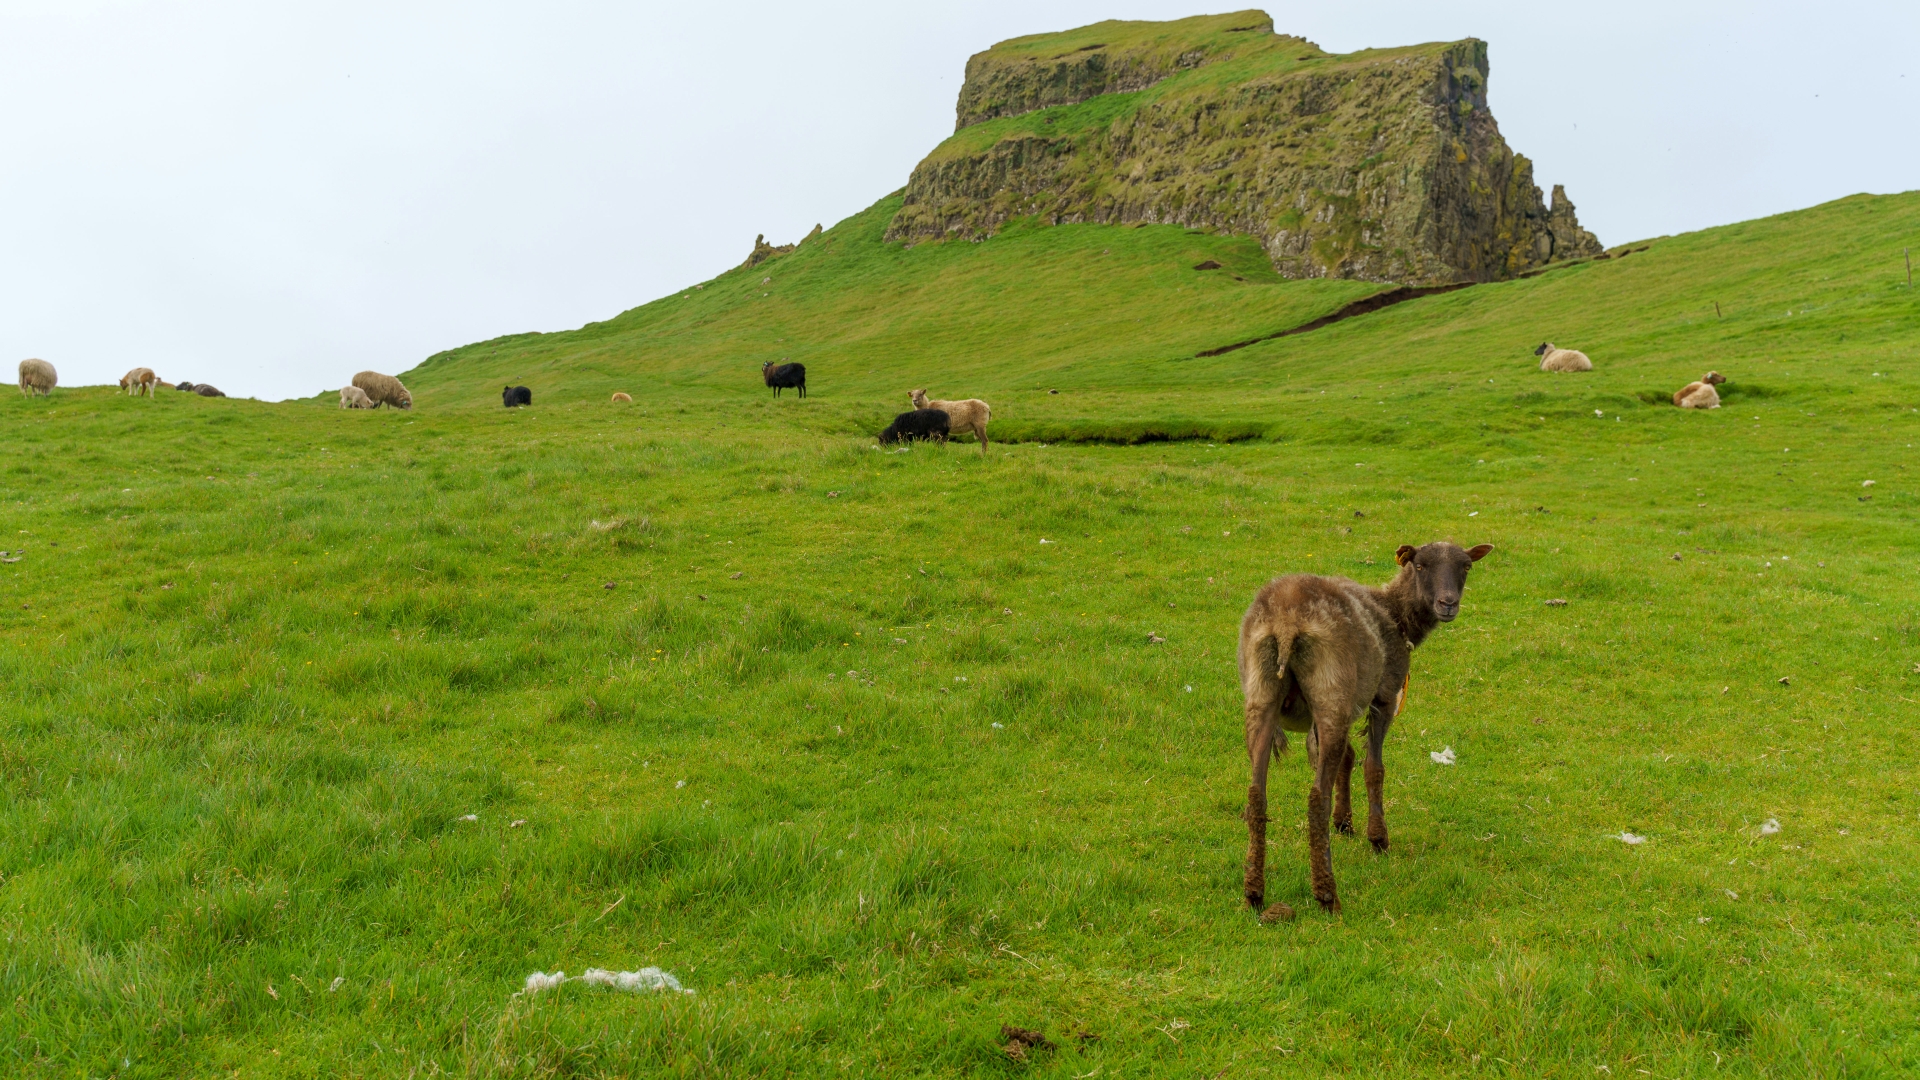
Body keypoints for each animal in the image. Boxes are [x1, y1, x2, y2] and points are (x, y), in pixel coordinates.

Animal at [1236, 538, 1489, 914]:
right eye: (1420, 565)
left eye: (1466, 566)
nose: (1448, 603)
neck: (1396, 614)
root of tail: (1286, 622)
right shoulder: (1384, 697)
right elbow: (1373, 767)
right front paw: (1377, 838)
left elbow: (1347, 758)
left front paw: (1344, 822)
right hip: (1331, 692)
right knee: (1316, 798)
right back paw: (1326, 894)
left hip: (1262, 694)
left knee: (1256, 796)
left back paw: (1254, 892)